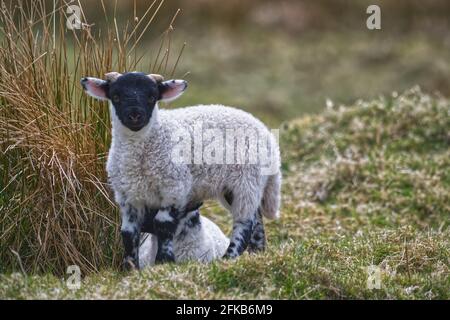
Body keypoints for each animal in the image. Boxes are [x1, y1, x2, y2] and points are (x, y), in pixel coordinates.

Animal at [79, 71, 280, 268]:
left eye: (152, 96)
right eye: (116, 96)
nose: (135, 116)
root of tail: (267, 135)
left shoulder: (174, 188)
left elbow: (163, 225)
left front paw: (163, 262)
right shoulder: (127, 196)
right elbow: (128, 233)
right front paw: (130, 268)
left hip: (246, 181)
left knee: (244, 223)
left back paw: (229, 258)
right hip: (236, 187)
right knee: (257, 219)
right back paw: (256, 253)